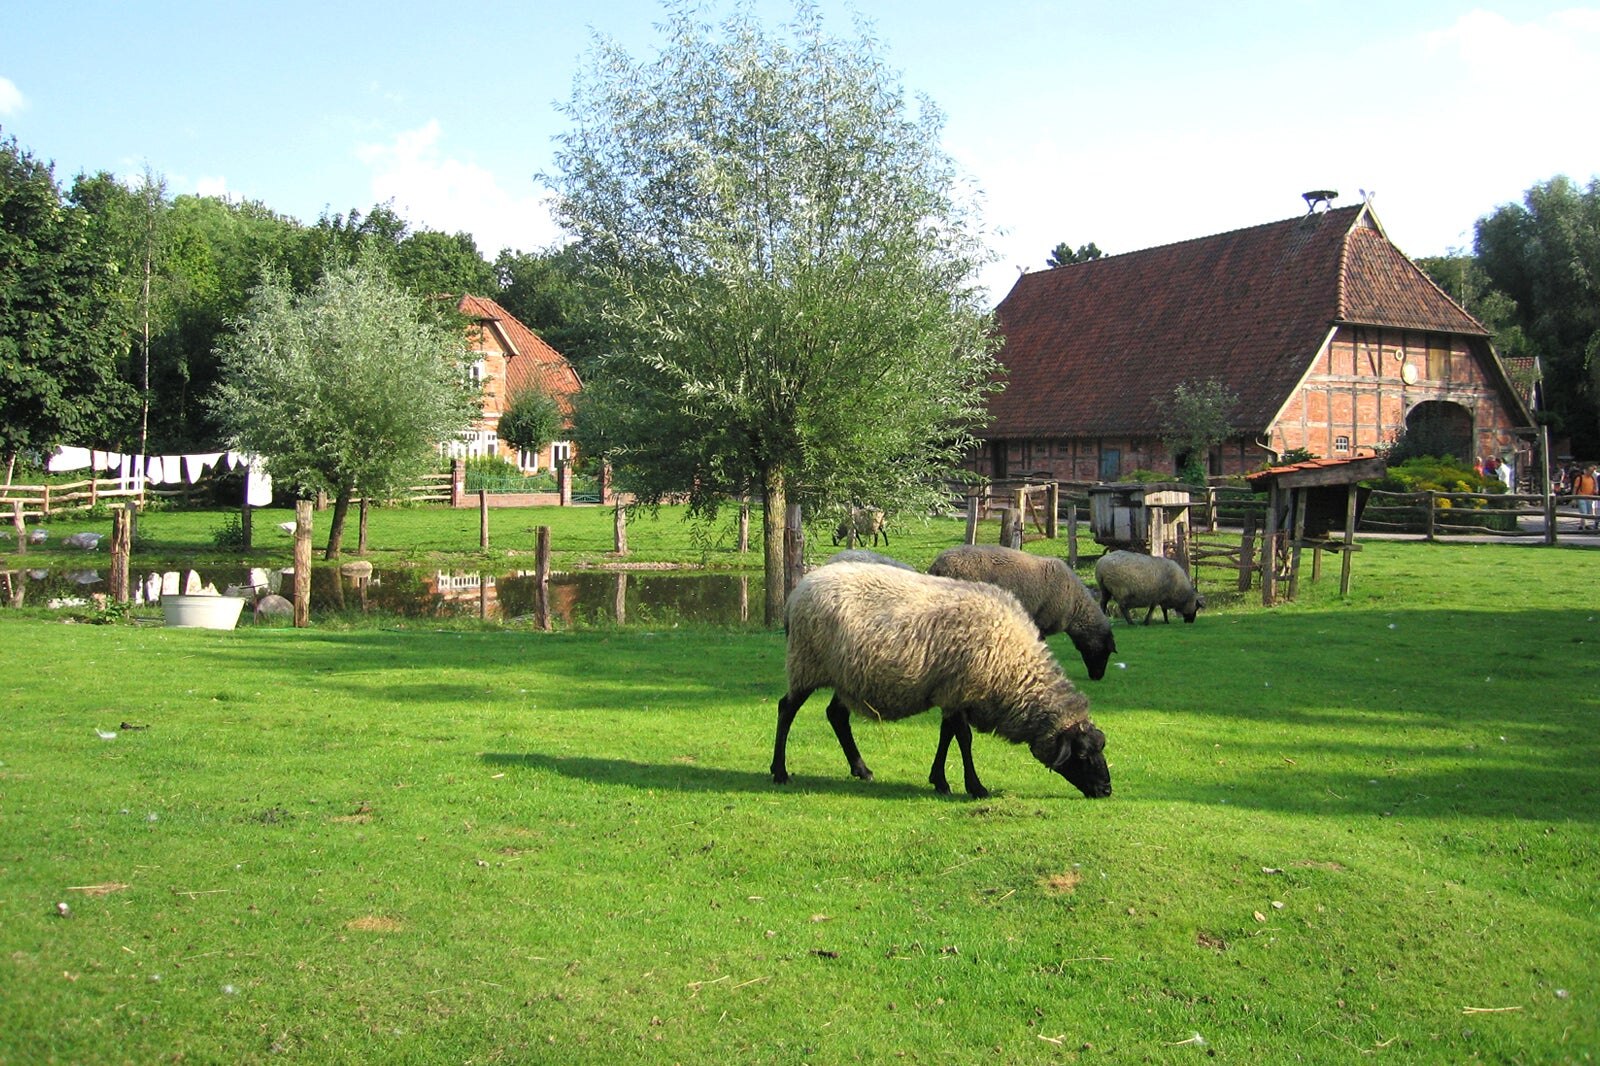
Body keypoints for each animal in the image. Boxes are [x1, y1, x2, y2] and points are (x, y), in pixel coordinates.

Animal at [774, 563, 1113, 797]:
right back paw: (779, 772)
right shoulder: (961, 689)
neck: (1013, 666)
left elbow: (946, 734)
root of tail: (797, 593)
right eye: (1082, 754)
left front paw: (939, 780)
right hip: (807, 663)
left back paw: (862, 769)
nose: (1106, 790)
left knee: (836, 715)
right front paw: (975, 787)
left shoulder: (951, 692)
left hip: (846, 674)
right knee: (786, 710)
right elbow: (964, 738)